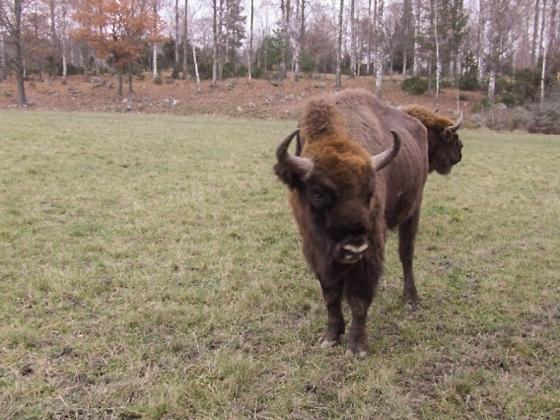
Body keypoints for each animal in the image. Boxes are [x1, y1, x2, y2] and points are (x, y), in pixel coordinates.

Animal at [276, 88, 434, 354]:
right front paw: (330, 337)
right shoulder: (318, 253)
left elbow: (359, 298)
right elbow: (330, 295)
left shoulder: (370, 253)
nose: (354, 246)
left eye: (370, 191)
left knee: (406, 254)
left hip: (413, 210)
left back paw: (411, 300)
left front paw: (357, 347)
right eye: (317, 193)